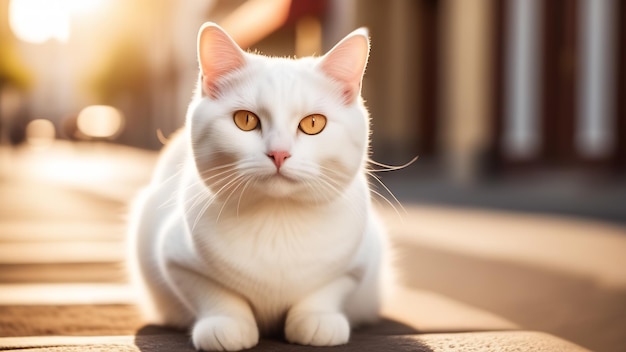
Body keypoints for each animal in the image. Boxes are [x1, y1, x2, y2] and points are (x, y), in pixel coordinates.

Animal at [129, 22, 382, 352]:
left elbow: (328, 289)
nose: (279, 153)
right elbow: (214, 293)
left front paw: (317, 320)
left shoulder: (360, 260)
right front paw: (226, 325)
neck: (277, 219)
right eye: (246, 120)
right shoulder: (174, 257)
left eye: (313, 124)